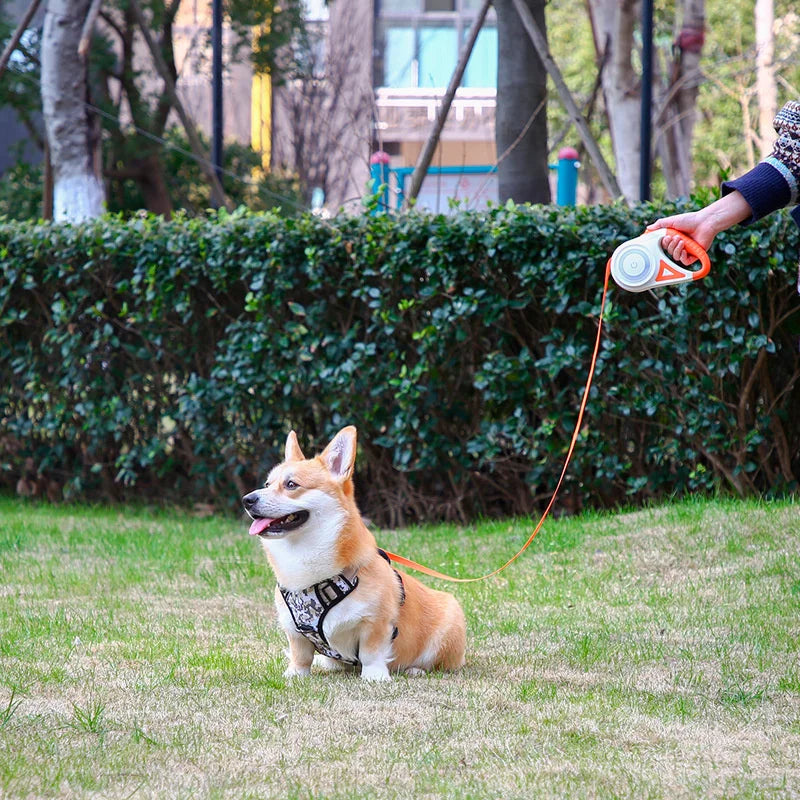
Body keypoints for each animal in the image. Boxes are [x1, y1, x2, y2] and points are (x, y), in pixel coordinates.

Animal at [245, 424, 468, 680]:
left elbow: (372, 651)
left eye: (291, 484)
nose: (247, 499)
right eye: (267, 484)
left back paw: (415, 670)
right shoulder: (294, 630)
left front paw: (374, 677)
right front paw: (295, 675)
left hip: (449, 628)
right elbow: (300, 654)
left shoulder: (376, 623)